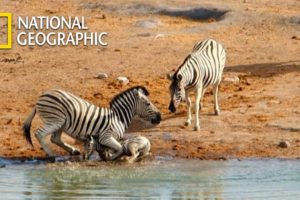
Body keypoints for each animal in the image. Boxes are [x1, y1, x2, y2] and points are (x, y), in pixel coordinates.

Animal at [22, 86, 162, 161]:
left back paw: (74, 151)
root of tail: (41, 96)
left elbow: (115, 147)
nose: (160, 117)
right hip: (55, 120)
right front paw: (111, 157)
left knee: (55, 138)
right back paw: (51, 155)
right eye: (148, 103)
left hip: (61, 123)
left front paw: (105, 154)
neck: (119, 118)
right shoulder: (106, 136)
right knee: (39, 133)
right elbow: (120, 148)